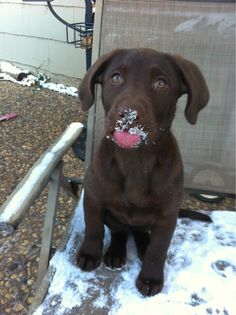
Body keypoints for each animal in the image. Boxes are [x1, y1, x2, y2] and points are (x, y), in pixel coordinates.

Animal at [76, 48, 209, 298]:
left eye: (160, 83)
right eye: (115, 77)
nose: (128, 114)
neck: (134, 160)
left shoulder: (167, 216)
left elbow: (159, 249)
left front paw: (150, 278)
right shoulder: (93, 199)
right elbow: (93, 229)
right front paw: (89, 254)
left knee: (140, 233)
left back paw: (143, 247)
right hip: (113, 217)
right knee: (120, 231)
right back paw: (115, 253)